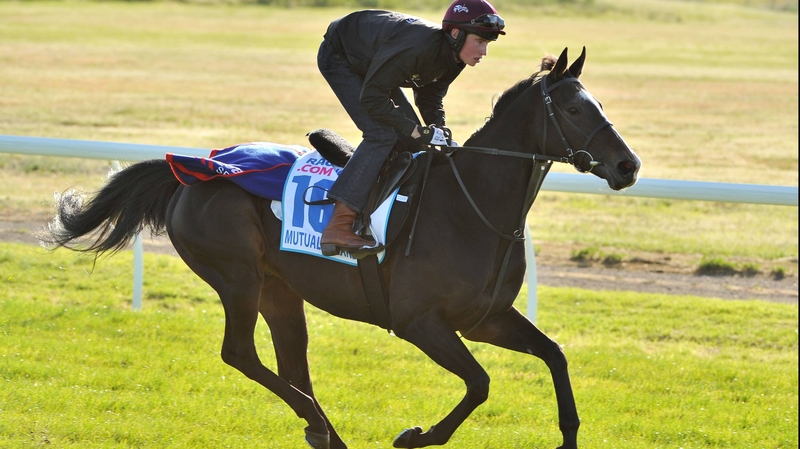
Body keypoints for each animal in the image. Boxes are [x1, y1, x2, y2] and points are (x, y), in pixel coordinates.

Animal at [41, 47, 640, 449]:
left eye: (598, 103)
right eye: (575, 110)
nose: (627, 165)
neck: (474, 207)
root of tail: (193, 168)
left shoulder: (484, 319)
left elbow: (555, 355)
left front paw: (568, 434)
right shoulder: (420, 321)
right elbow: (480, 383)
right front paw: (414, 435)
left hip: (280, 289)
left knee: (292, 364)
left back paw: (321, 428)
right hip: (238, 278)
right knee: (241, 355)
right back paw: (318, 425)